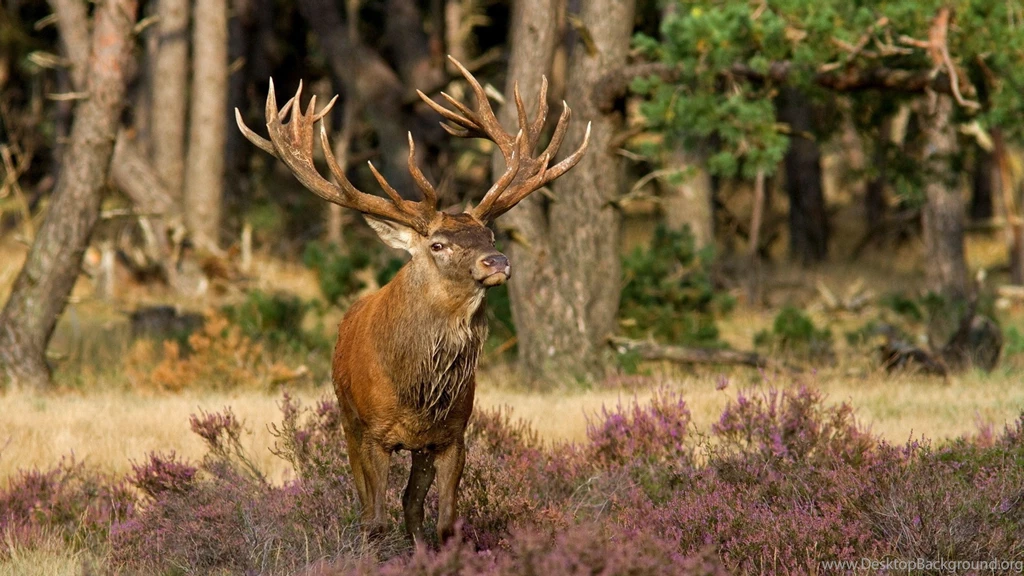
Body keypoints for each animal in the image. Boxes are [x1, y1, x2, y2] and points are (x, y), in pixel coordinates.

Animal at [235, 56, 589, 547]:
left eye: (490, 234)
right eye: (438, 244)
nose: (497, 261)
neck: (417, 393)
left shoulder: (452, 434)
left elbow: (443, 521)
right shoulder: (372, 434)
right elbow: (375, 519)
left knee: (411, 506)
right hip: (347, 419)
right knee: (369, 507)